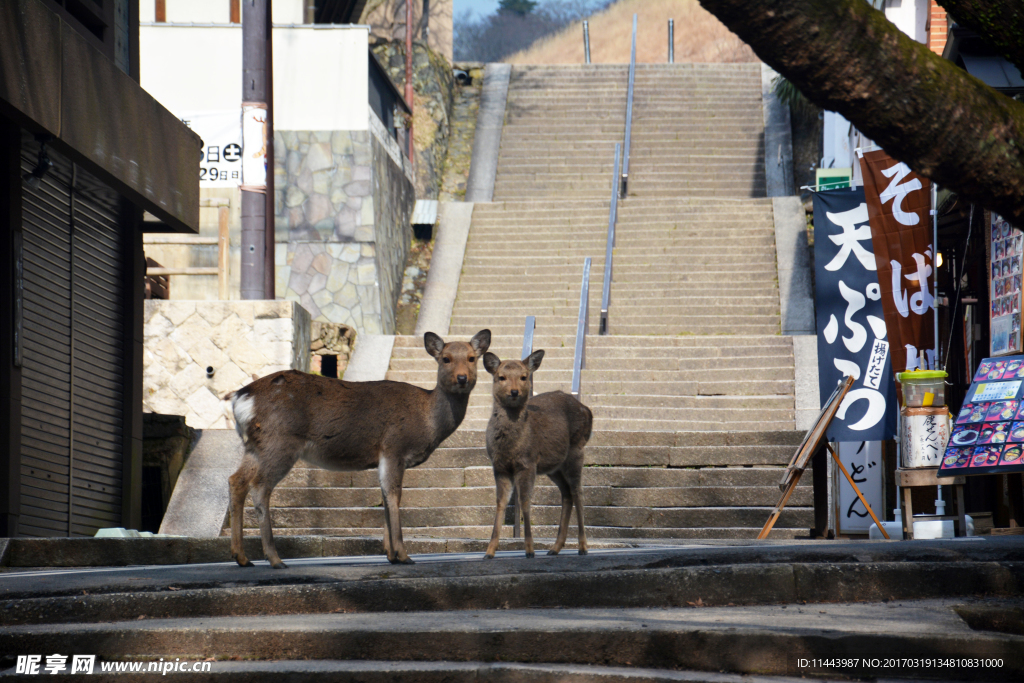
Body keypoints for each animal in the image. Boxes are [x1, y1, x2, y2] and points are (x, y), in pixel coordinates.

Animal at [229, 329, 491, 565]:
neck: (428, 421)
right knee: (260, 487)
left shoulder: (384, 456)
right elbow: (394, 495)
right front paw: (403, 554)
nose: (462, 378)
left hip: (254, 446)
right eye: (445, 358)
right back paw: (274, 558)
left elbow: (385, 495)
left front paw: (390, 554)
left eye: (472, 358)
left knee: (236, 480)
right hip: (280, 441)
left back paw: (242, 557)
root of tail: (240, 399)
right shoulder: (394, 446)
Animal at [481, 350, 593, 557]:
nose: (514, 392)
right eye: (501, 377)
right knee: (566, 493)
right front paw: (489, 551)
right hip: (554, 467)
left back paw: (582, 547)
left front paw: (529, 550)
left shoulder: (528, 463)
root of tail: (588, 411)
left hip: (576, 450)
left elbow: (525, 500)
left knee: (578, 492)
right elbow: (500, 502)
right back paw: (555, 548)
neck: (510, 447)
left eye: (524, 376)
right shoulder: (499, 466)